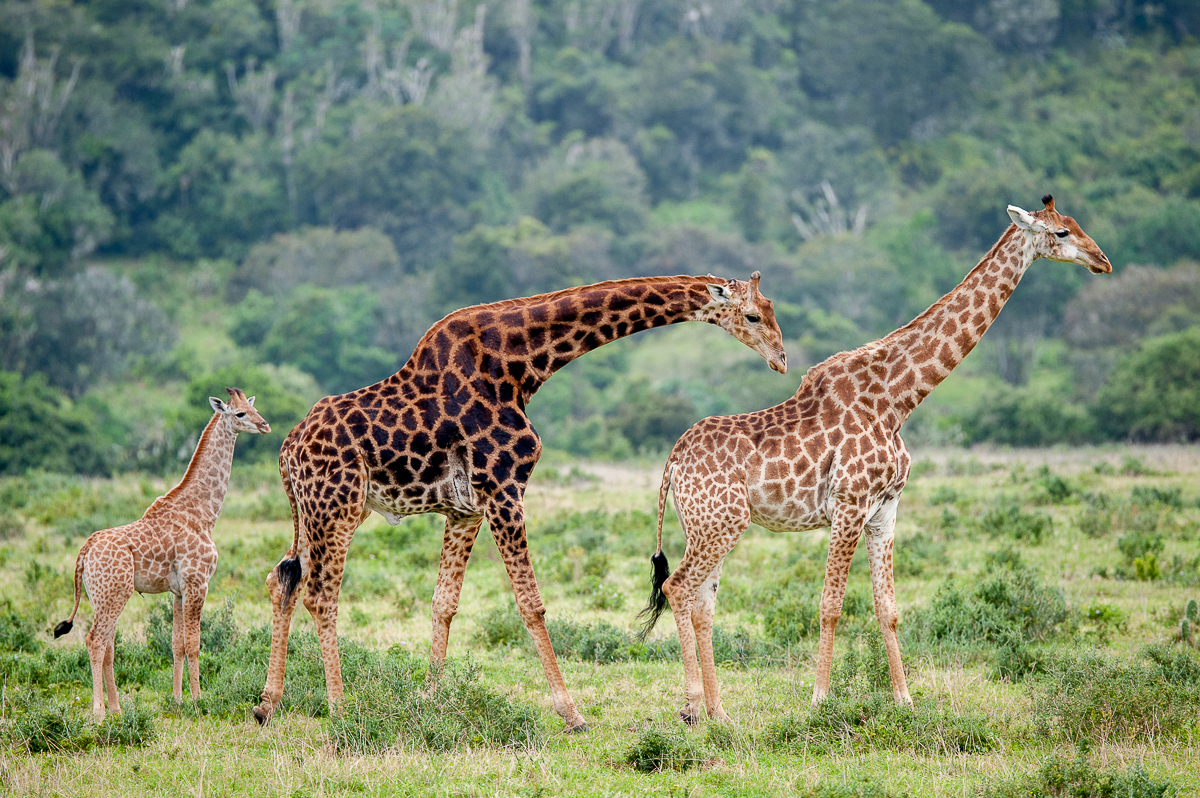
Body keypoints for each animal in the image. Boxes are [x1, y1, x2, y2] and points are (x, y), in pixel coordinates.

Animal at [54, 386, 270, 720]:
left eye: (253, 407)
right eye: (240, 413)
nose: (264, 425)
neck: (203, 512)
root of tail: (84, 551)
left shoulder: (178, 590)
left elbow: (176, 643)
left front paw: (178, 700)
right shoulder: (198, 582)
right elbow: (194, 642)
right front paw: (198, 701)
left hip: (100, 597)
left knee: (109, 644)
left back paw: (117, 710)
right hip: (114, 593)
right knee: (96, 640)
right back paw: (99, 713)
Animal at [252, 272, 787, 729]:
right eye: (754, 316)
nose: (781, 359)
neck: (519, 365)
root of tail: (285, 451)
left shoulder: (465, 508)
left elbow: (444, 602)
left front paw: (430, 699)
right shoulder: (504, 486)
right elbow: (531, 604)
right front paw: (571, 712)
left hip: (319, 511)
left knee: (283, 579)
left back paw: (267, 704)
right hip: (336, 506)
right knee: (320, 594)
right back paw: (340, 708)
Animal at [643, 195, 1108, 724]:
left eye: (1075, 224)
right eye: (1062, 232)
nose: (1102, 261)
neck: (899, 398)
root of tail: (672, 464)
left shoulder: (885, 510)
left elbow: (888, 608)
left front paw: (905, 700)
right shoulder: (849, 504)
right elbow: (830, 605)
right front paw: (820, 700)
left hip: (709, 524)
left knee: (702, 601)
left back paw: (720, 714)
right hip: (719, 523)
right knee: (677, 588)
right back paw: (691, 708)